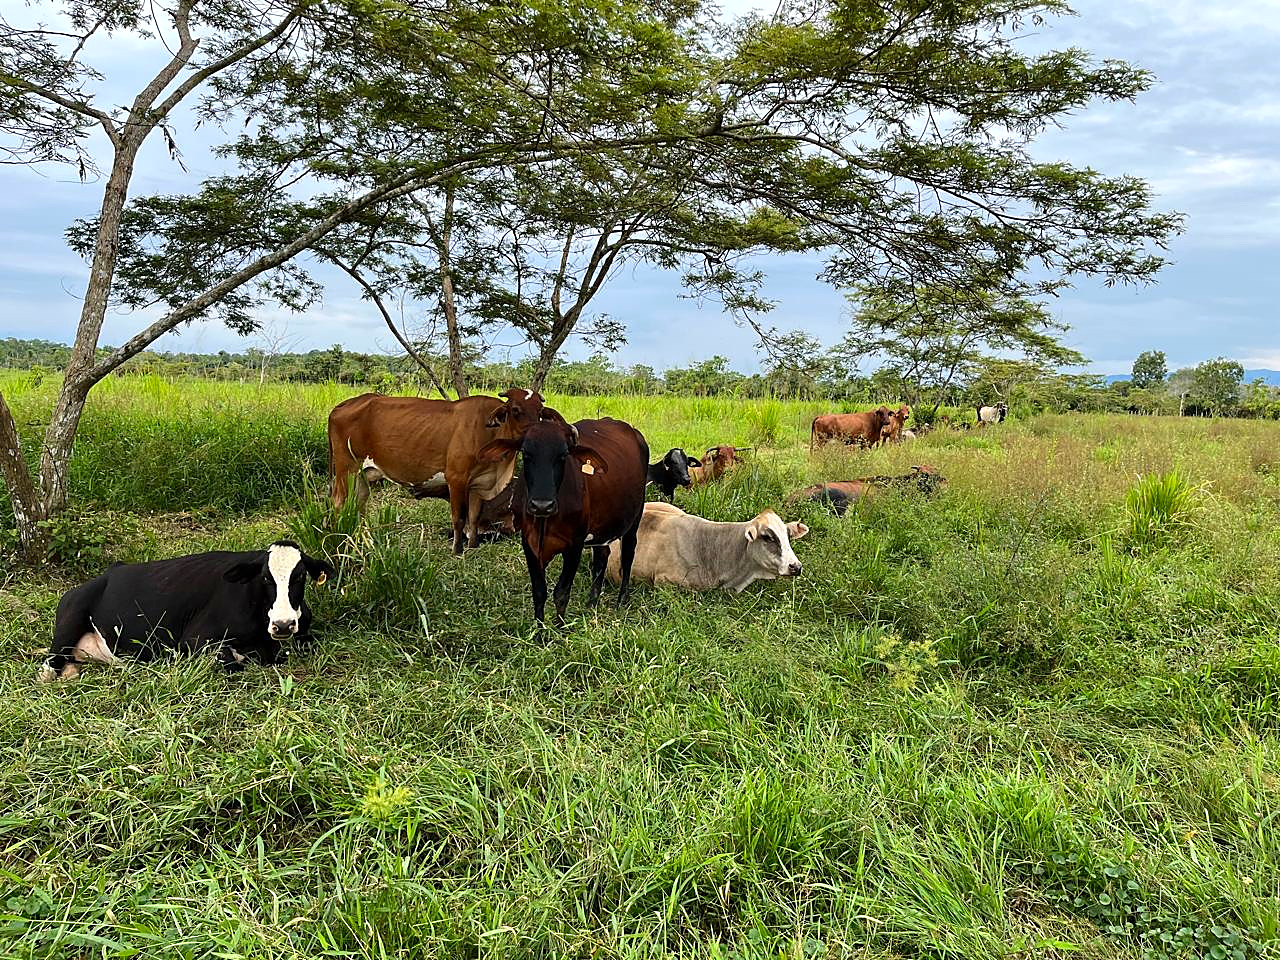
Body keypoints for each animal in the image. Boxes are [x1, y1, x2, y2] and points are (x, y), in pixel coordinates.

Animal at [38, 541, 336, 681]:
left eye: (300, 576)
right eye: (265, 578)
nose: (283, 624)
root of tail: (106, 574)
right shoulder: (192, 640)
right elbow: (232, 661)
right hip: (69, 621)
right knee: (49, 664)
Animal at [327, 388, 552, 553]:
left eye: (540, 411)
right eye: (515, 409)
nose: (538, 437)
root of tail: (346, 404)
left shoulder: (478, 484)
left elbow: (473, 517)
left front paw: (473, 547)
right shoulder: (456, 478)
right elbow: (459, 519)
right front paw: (457, 551)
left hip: (363, 475)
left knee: (359, 504)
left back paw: (363, 538)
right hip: (346, 469)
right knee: (339, 502)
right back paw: (340, 537)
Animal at [477, 417, 649, 631]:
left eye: (563, 455)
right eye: (526, 453)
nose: (542, 505)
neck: (544, 522)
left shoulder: (574, 545)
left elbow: (561, 592)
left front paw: (560, 631)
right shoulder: (529, 543)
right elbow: (539, 592)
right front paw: (540, 634)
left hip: (635, 517)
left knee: (627, 555)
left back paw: (622, 601)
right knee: (602, 555)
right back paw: (591, 604)